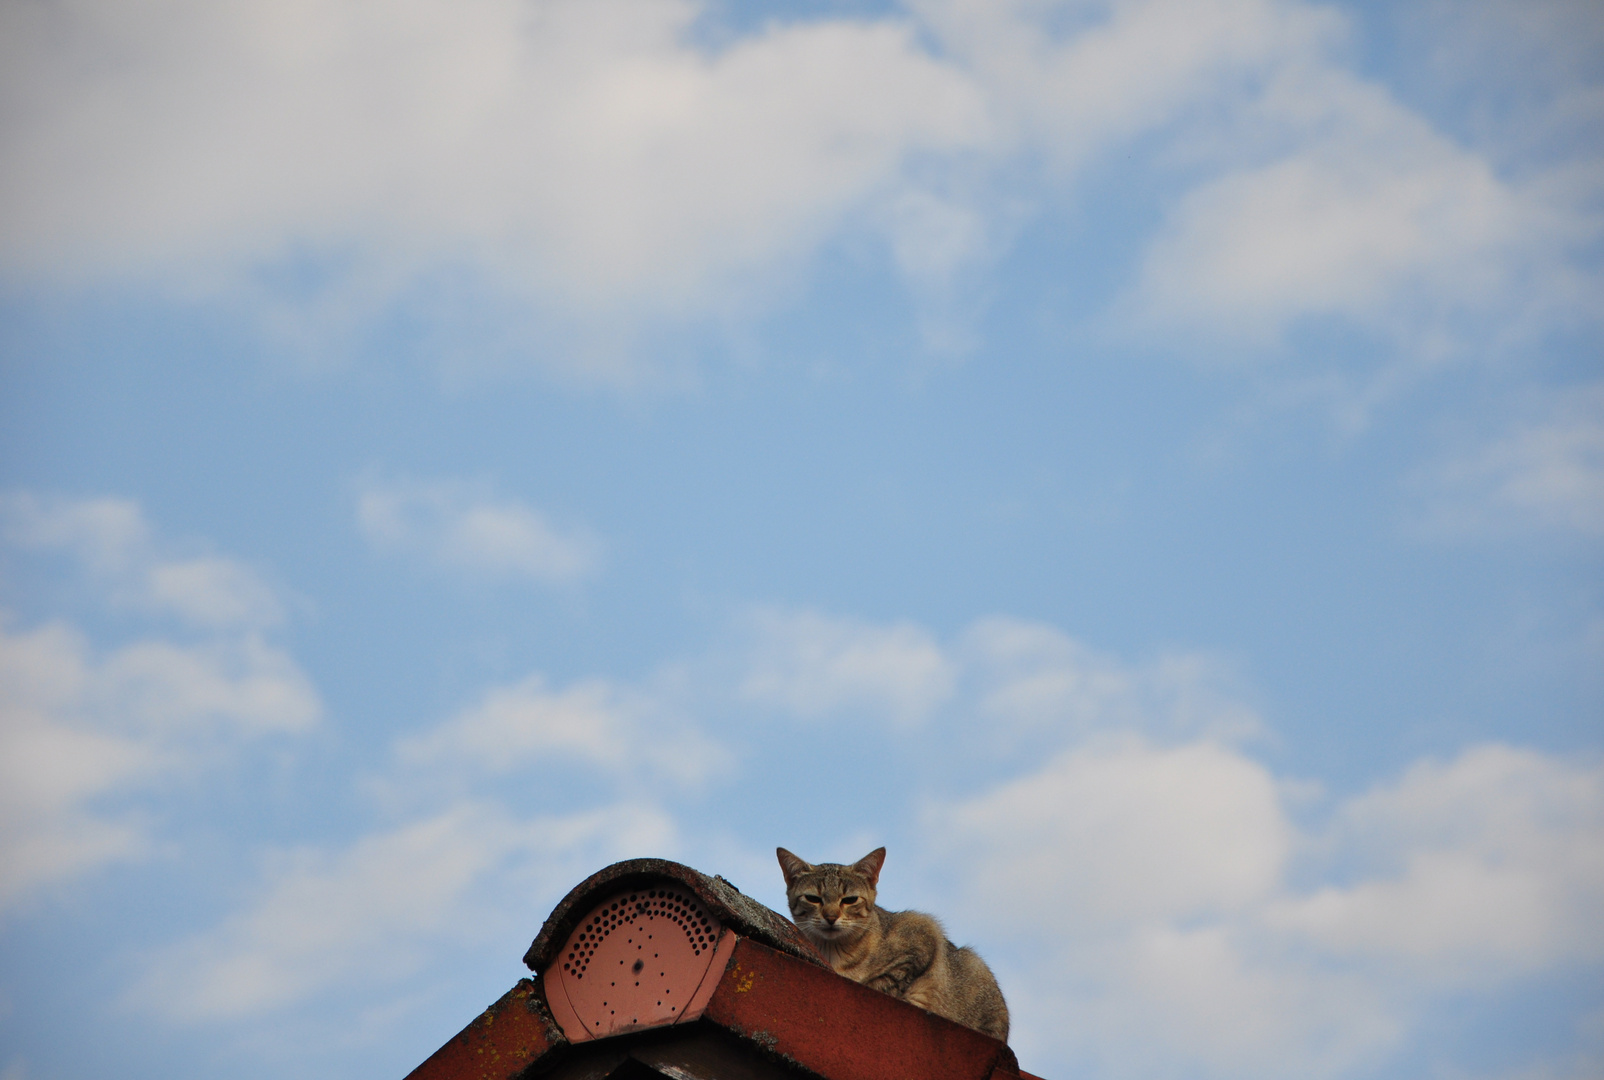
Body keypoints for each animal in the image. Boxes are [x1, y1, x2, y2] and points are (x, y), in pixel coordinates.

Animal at [773, 840, 1007, 1033]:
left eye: (849, 900)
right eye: (813, 898)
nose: (831, 917)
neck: (834, 953)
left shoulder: (923, 929)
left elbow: (889, 980)